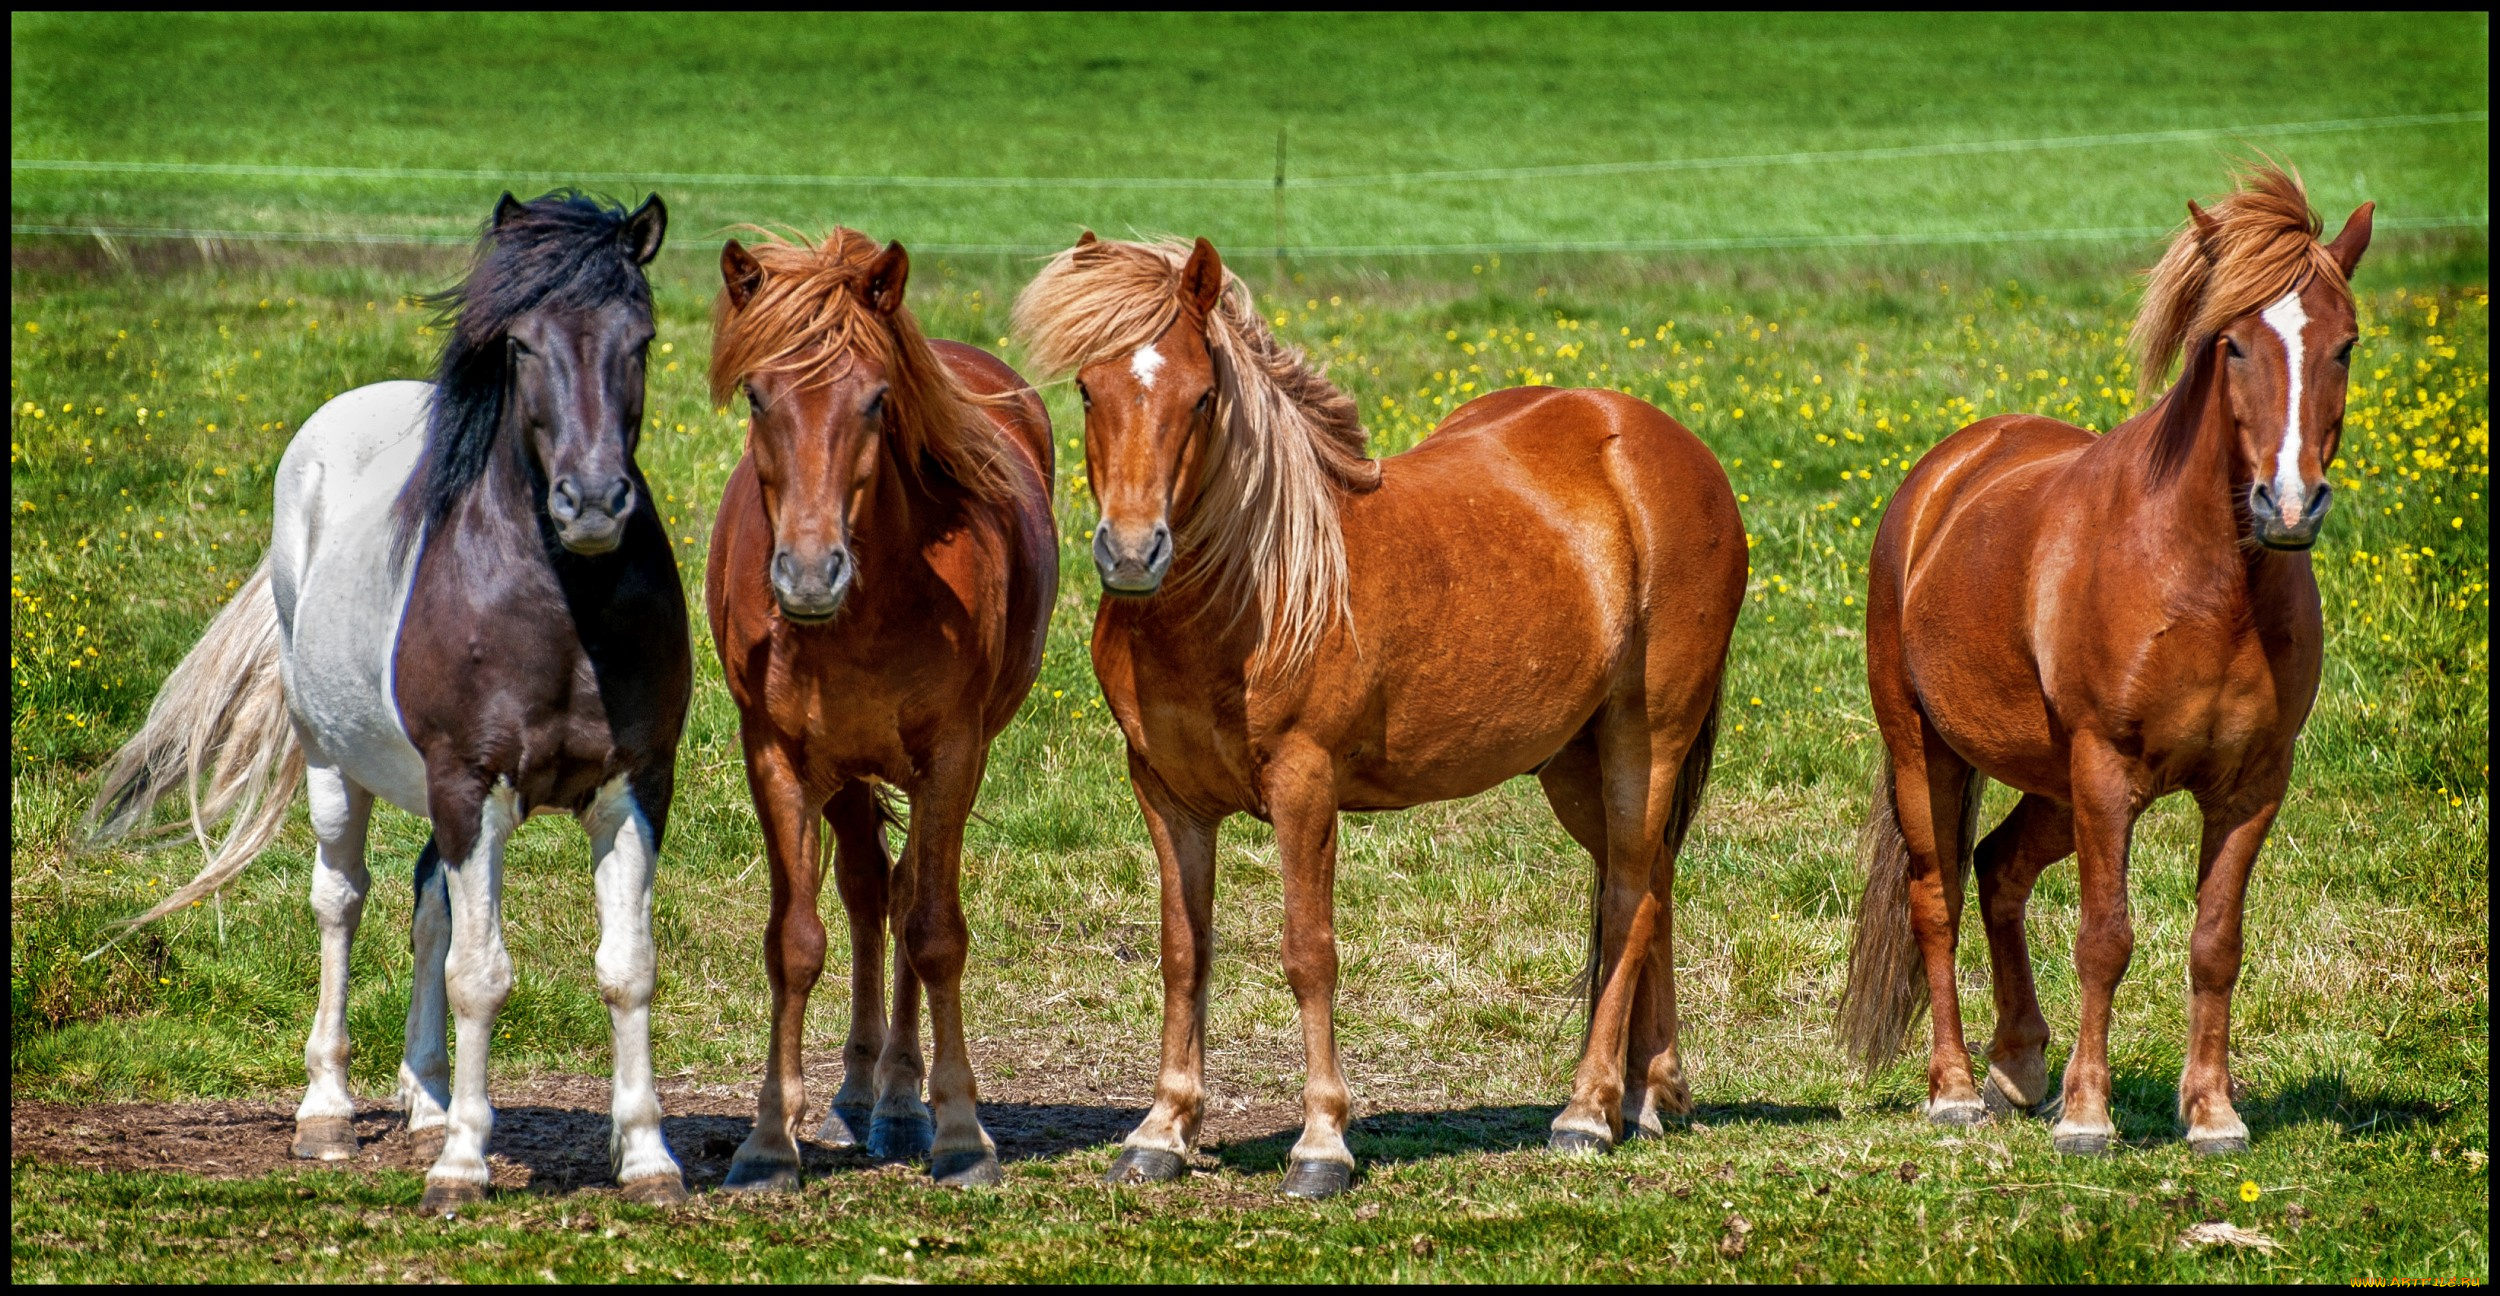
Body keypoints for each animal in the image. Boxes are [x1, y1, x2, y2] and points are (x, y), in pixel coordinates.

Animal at [85, 187, 695, 1215]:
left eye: (641, 338)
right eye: (521, 345)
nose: (593, 504)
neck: (561, 608)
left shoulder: (633, 788)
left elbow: (627, 969)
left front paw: (647, 1158)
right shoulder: (469, 784)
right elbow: (482, 976)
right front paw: (463, 1169)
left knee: (425, 905)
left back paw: (427, 1100)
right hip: (337, 767)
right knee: (342, 900)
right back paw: (327, 1114)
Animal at [705, 231, 1055, 1190]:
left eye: (875, 399)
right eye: (758, 394)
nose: (807, 574)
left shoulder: (953, 755)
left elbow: (933, 932)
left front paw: (961, 1132)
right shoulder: (776, 753)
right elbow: (795, 941)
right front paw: (767, 1140)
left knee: (901, 899)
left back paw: (900, 1101)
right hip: (846, 771)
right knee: (867, 895)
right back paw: (860, 1093)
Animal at [1005, 231, 1750, 1200]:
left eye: (1201, 395)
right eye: (1090, 391)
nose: (1133, 553)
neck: (1251, 592)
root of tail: (1669, 447)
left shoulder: (1305, 786)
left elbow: (1308, 952)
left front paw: (1322, 1144)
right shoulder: (1165, 793)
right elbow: (1182, 954)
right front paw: (1161, 1131)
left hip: (1645, 735)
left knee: (1627, 897)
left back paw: (1587, 1114)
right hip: (1574, 763)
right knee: (1652, 882)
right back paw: (1653, 1095)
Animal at [1840, 170, 2380, 1160]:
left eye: (2345, 346)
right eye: (2232, 344)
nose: (2288, 504)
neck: (2208, 586)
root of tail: (1946, 471)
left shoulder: (2252, 786)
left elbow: (2216, 944)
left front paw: (2212, 1113)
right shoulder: (2105, 771)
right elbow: (2105, 938)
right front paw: (2088, 1116)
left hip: (2052, 786)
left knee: (1998, 868)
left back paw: (2019, 1064)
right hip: (1929, 754)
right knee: (1936, 898)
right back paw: (1956, 1089)